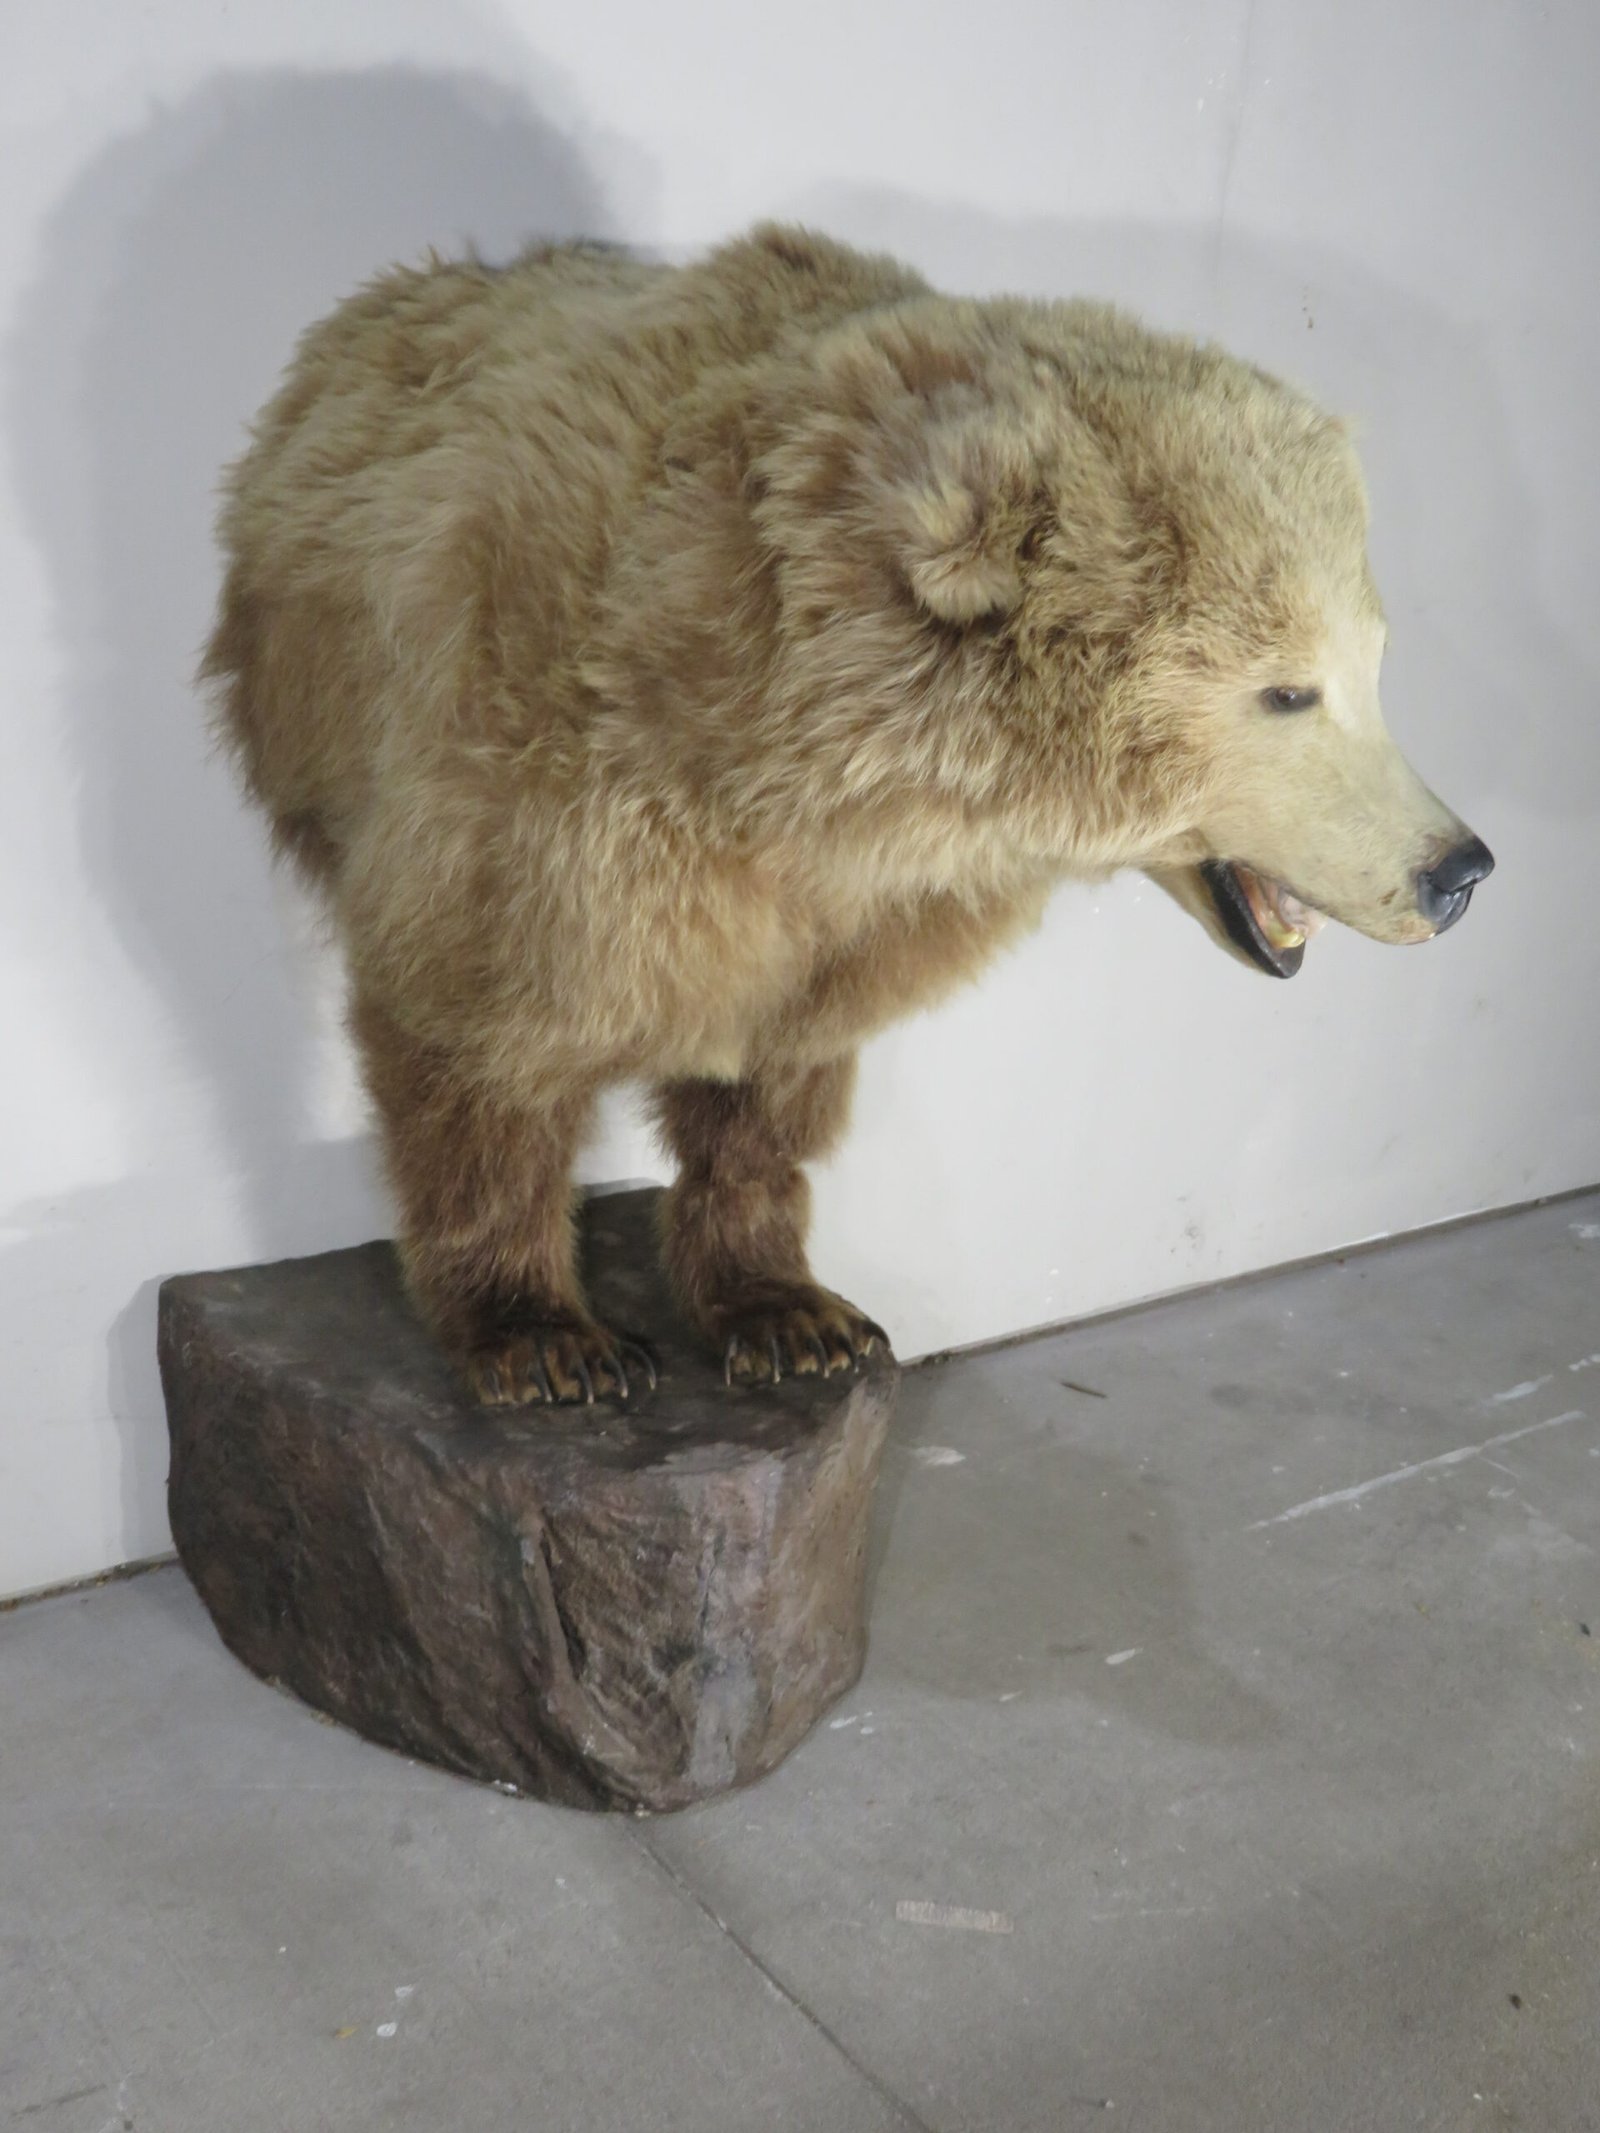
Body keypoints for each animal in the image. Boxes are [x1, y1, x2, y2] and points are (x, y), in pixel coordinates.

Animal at [202, 222, 1493, 1406]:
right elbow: (481, 1040)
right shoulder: (531, 794)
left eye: (1374, 664)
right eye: (1287, 689)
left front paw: (794, 1316)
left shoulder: (856, 917)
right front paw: (546, 1339)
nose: (1457, 867)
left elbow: (775, 1085)